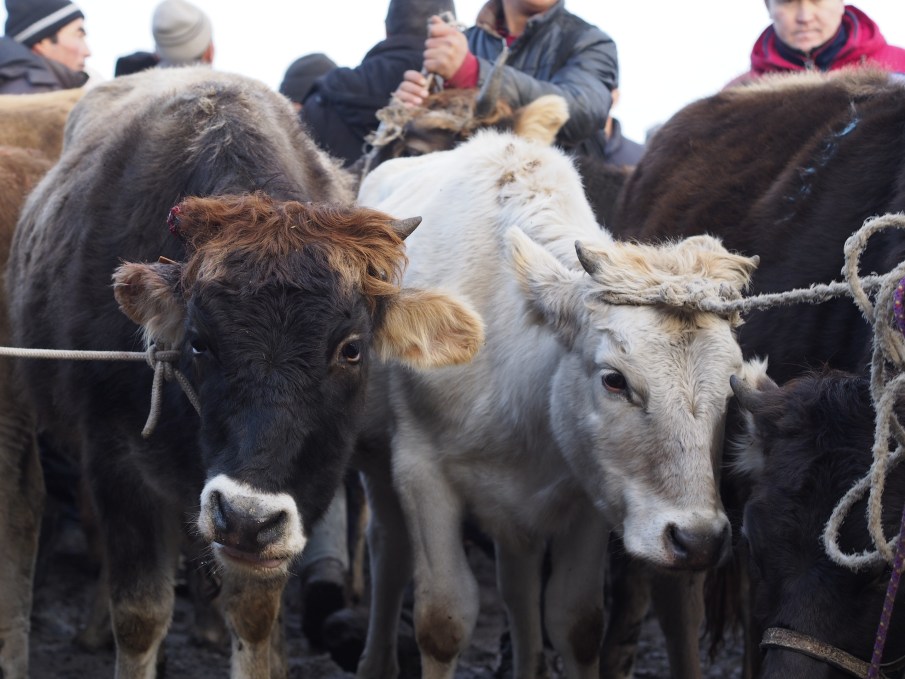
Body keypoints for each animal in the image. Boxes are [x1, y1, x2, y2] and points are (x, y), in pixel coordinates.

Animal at [3, 66, 484, 679]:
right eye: (199, 342)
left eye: (351, 349)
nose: (246, 518)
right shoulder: (115, 461)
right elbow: (138, 615)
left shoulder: (309, 484)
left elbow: (255, 612)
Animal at [353, 124, 763, 679]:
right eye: (614, 380)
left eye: (729, 385)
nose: (697, 539)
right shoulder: (420, 469)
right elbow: (442, 619)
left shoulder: (592, 485)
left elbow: (575, 620)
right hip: (376, 459)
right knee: (389, 551)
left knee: (520, 589)